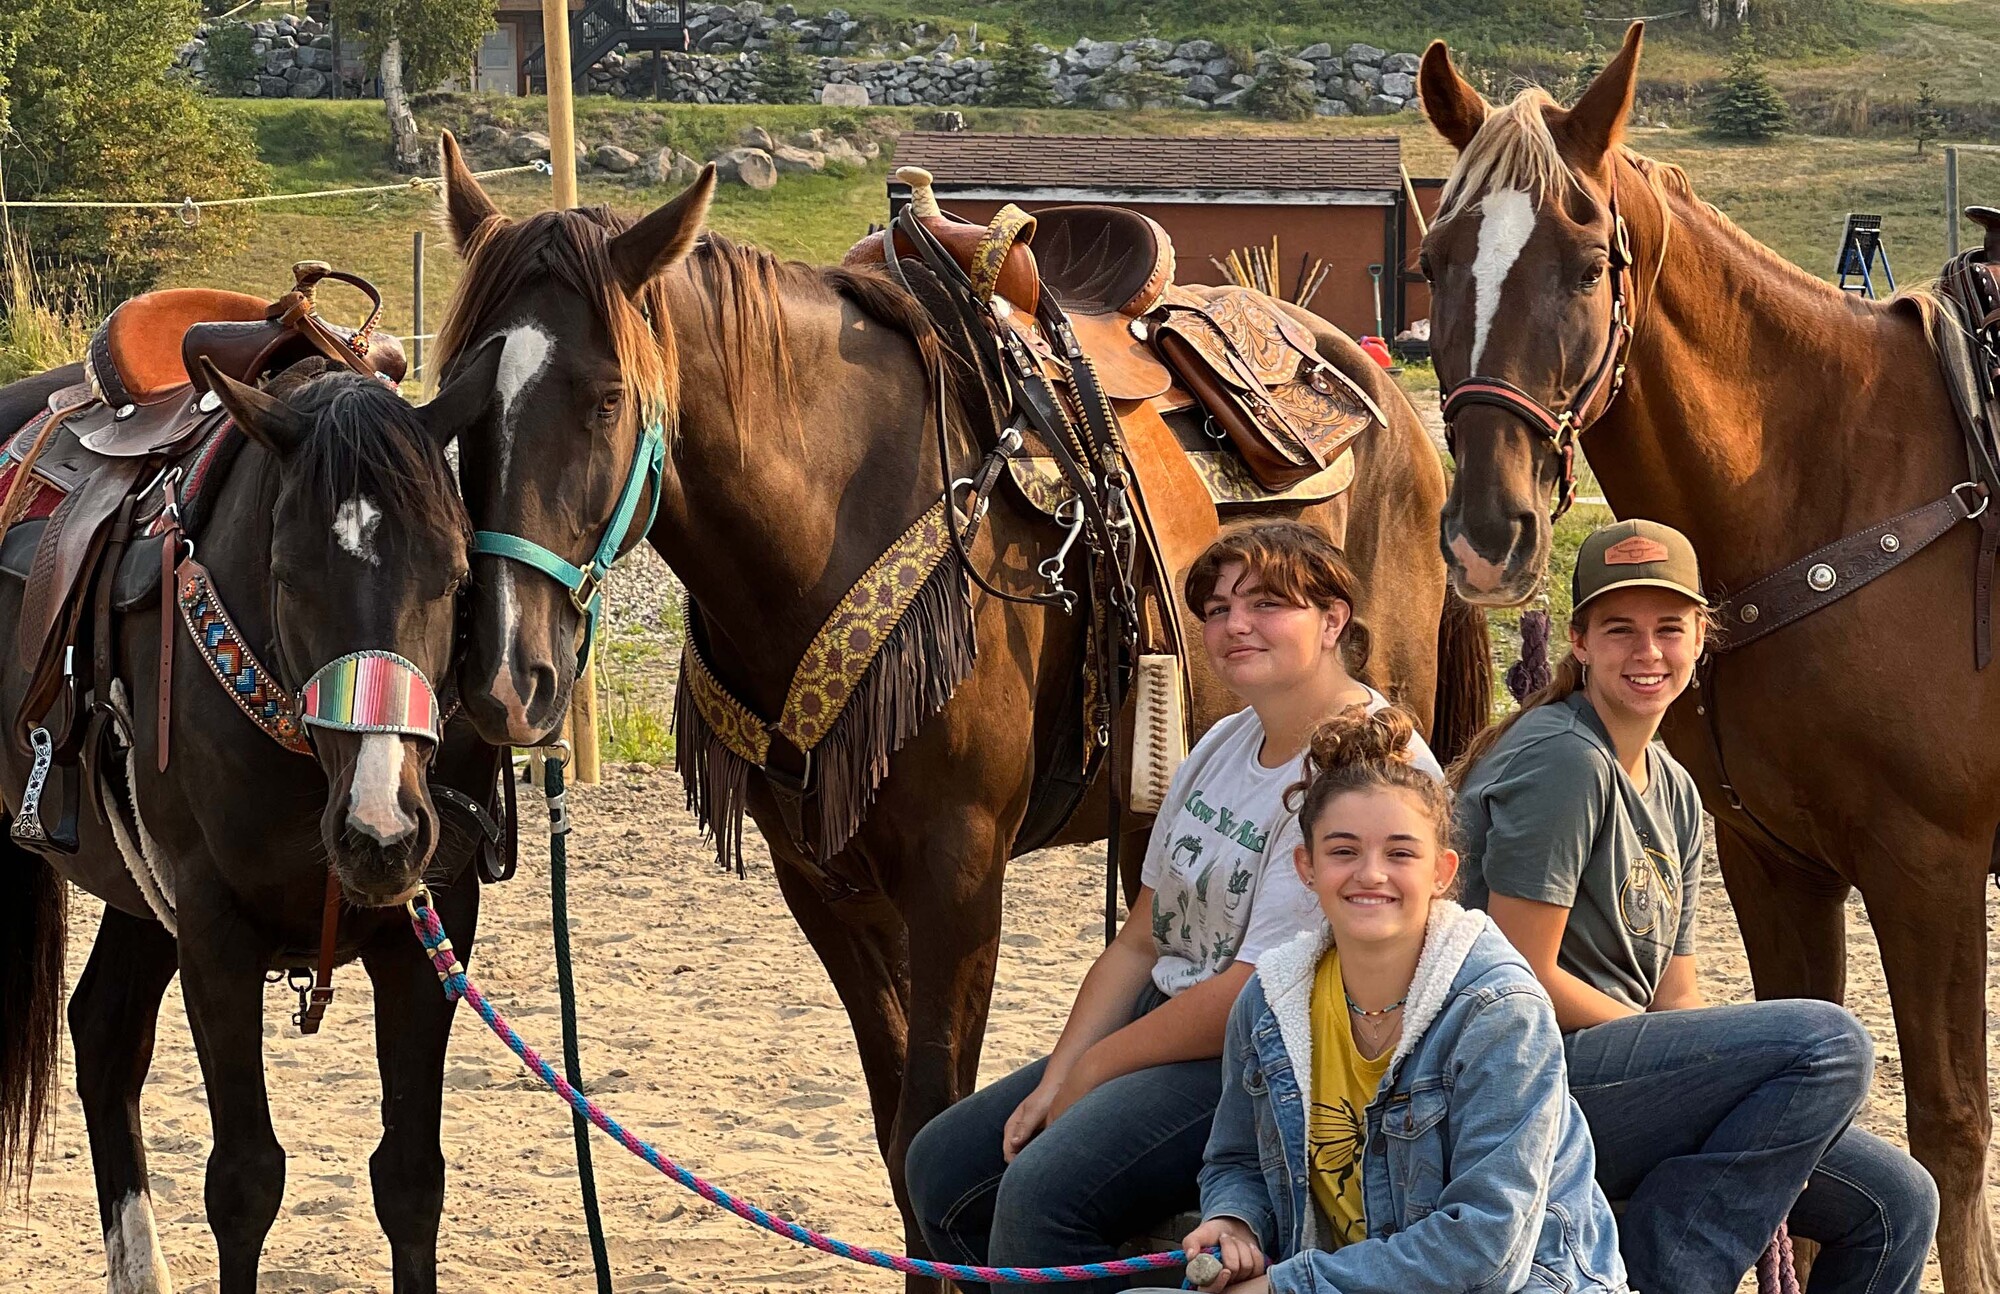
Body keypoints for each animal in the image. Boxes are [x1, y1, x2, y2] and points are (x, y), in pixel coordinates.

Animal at [426, 139, 1488, 1264]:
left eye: (602, 397)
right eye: (454, 403)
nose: (505, 675)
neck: (830, 515)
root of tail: (1387, 404)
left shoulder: (958, 873)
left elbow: (929, 1120)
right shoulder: (825, 882)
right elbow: (900, 1139)